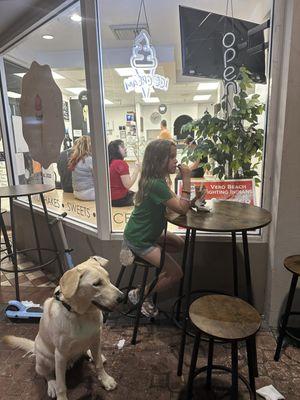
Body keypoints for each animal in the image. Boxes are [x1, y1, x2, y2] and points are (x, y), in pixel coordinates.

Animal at [3, 256, 123, 400]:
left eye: (108, 278)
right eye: (97, 284)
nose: (122, 298)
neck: (81, 314)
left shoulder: (96, 338)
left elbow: (98, 364)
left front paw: (105, 380)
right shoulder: (60, 354)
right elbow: (61, 383)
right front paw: (61, 395)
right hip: (44, 359)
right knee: (47, 374)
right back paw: (51, 385)